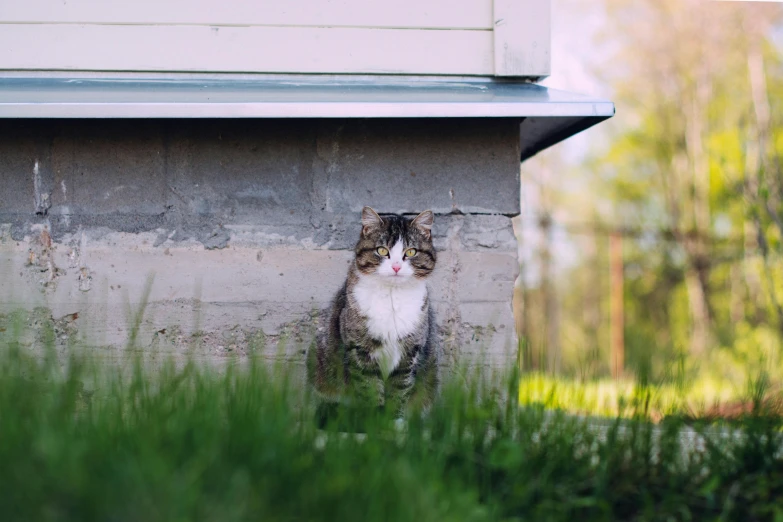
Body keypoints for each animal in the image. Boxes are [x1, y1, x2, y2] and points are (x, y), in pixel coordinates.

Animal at [308, 205, 440, 416]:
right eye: (382, 250)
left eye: (411, 251)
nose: (396, 267)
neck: (392, 296)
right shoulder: (359, 349)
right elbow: (369, 386)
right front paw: (375, 419)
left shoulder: (410, 351)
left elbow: (400, 389)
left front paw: (392, 420)